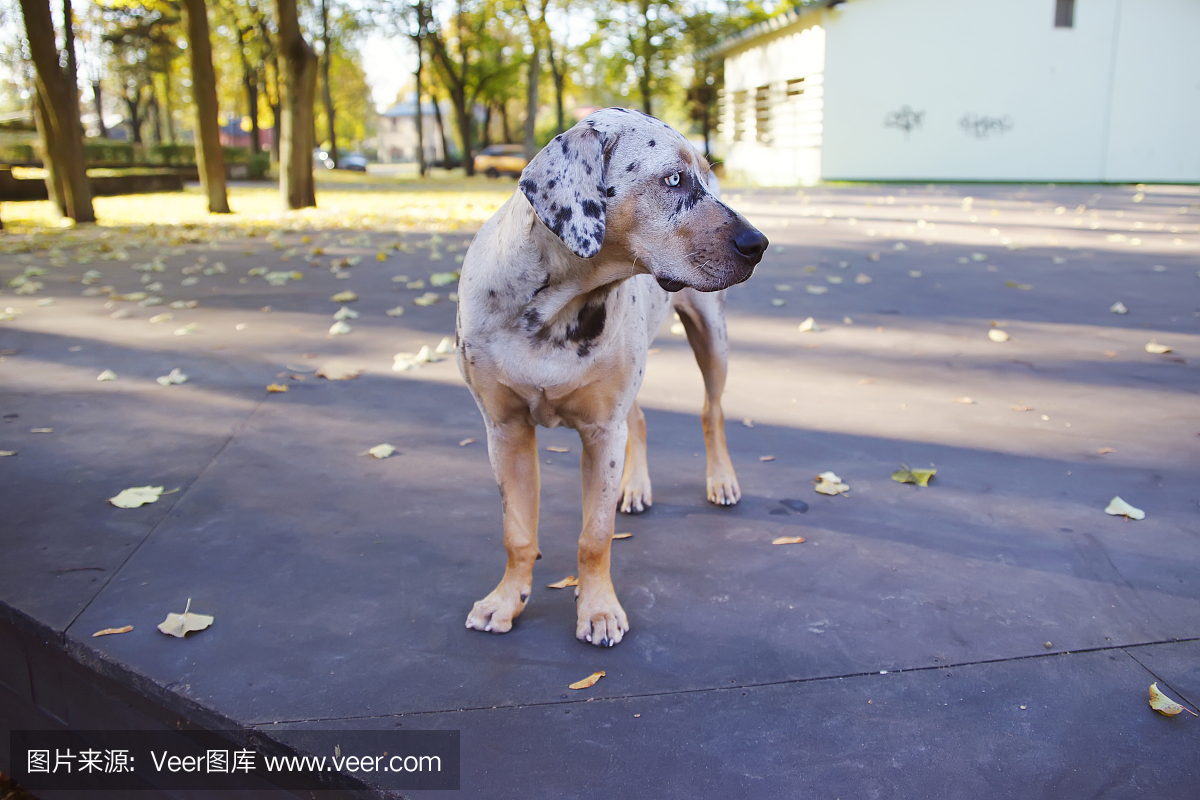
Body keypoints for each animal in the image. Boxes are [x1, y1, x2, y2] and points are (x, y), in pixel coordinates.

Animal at [453, 106, 763, 647]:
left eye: (703, 176)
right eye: (674, 179)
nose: (759, 243)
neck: (558, 307)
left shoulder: (601, 433)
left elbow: (594, 536)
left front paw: (597, 610)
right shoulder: (506, 431)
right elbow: (518, 532)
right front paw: (506, 601)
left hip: (712, 338)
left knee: (713, 411)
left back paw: (721, 478)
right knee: (637, 422)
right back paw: (634, 487)